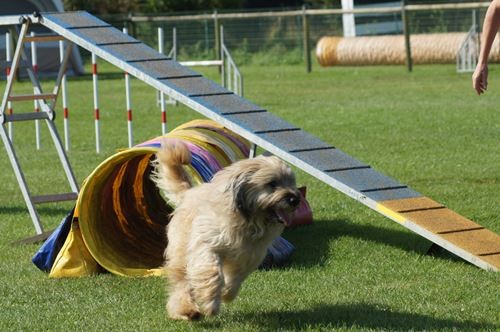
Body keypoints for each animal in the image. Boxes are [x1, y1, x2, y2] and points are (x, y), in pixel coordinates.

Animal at [151, 139, 300, 320]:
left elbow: (236, 278)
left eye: (291, 182)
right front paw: (210, 303)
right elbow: (212, 273)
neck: (247, 220)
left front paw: (226, 294)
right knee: (181, 281)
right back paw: (186, 309)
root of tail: (188, 193)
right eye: (272, 183)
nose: (295, 199)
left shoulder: (248, 256)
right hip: (181, 249)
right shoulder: (207, 245)